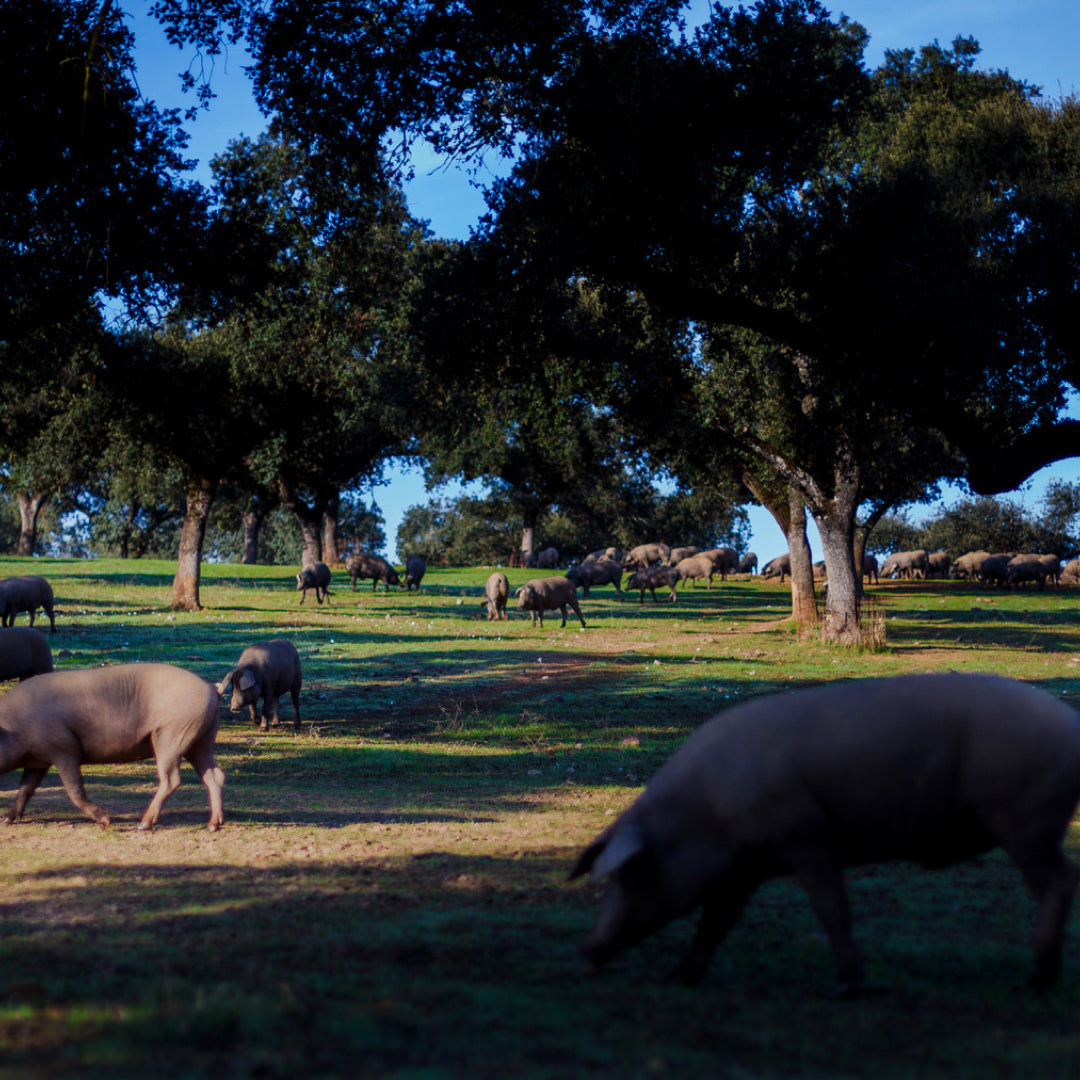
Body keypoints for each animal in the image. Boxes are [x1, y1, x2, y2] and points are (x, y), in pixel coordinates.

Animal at [0, 660, 224, 829]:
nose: (4, 819)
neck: (15, 726)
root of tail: (212, 687)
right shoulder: (38, 761)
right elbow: (25, 789)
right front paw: (6, 820)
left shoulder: (64, 751)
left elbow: (74, 790)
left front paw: (105, 821)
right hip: (201, 739)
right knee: (214, 775)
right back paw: (213, 825)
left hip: (172, 735)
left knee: (172, 779)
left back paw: (143, 825)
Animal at [578, 673, 1080, 993]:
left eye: (629, 874)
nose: (587, 950)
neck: (705, 813)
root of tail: (1070, 723)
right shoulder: (743, 868)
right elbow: (716, 922)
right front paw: (680, 977)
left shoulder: (805, 839)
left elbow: (831, 909)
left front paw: (846, 984)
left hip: (1024, 820)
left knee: (1060, 881)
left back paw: (1037, 981)